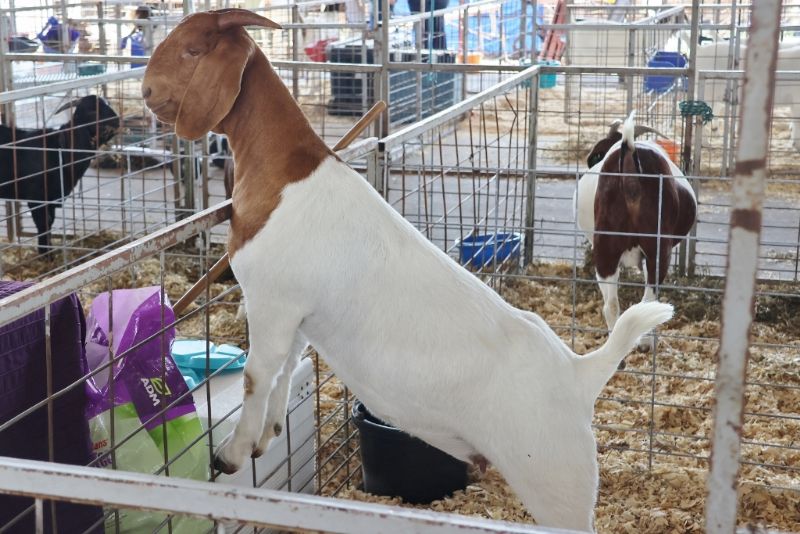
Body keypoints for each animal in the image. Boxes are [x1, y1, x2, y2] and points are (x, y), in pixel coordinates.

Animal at [0, 95, 119, 254]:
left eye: (108, 104)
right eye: (92, 111)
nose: (116, 120)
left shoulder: (51, 199)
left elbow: (50, 223)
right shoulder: (37, 199)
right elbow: (43, 225)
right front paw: (45, 254)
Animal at [142, 10, 676, 532]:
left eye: (192, 48)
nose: (145, 91)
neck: (287, 175)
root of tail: (581, 374)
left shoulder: (271, 299)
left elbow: (257, 375)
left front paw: (230, 455)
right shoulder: (297, 314)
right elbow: (284, 369)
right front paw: (267, 436)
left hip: (557, 481)